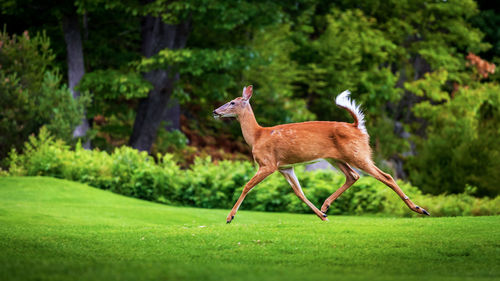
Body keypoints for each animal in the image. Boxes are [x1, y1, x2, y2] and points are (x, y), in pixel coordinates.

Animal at [213, 84, 428, 222]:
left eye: (232, 102)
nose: (215, 111)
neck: (257, 136)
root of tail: (357, 126)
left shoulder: (268, 163)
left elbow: (247, 186)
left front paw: (230, 217)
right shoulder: (285, 167)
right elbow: (299, 193)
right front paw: (322, 216)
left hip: (357, 153)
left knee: (386, 176)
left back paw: (419, 209)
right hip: (336, 159)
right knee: (353, 176)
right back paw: (325, 206)